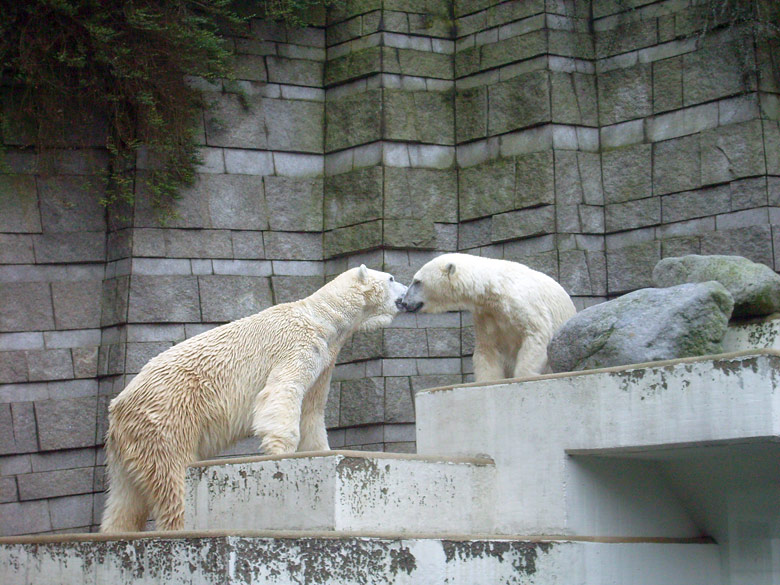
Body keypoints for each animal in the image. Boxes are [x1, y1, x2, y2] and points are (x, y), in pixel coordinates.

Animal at [102, 266, 408, 532]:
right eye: (391, 278)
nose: (407, 292)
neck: (321, 317)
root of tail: (117, 409)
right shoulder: (296, 346)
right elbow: (282, 392)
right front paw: (281, 452)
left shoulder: (325, 360)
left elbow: (311, 412)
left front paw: (319, 451)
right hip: (167, 419)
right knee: (173, 476)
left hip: (131, 443)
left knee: (125, 500)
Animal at [402, 252, 572, 380]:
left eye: (417, 281)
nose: (404, 302)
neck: (495, 289)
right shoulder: (487, 315)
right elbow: (487, 348)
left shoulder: (523, 303)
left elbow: (536, 333)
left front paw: (524, 376)